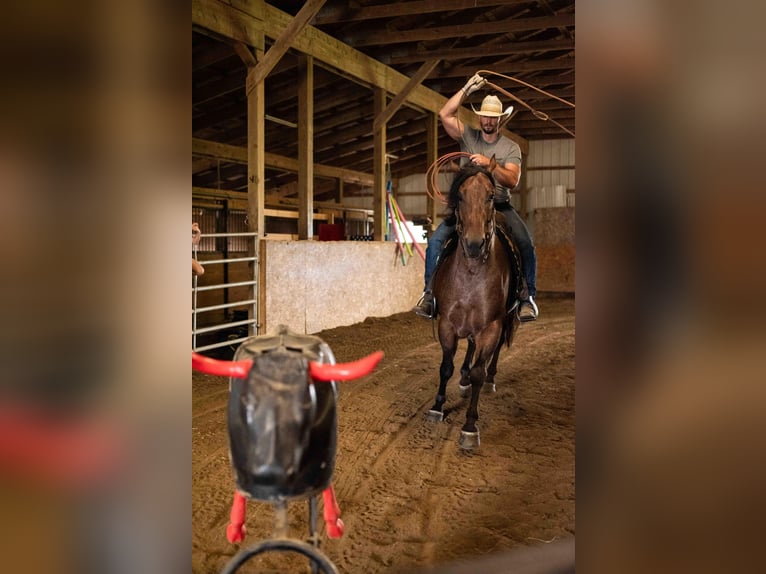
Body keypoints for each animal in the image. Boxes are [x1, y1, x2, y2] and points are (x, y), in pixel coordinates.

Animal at [427, 157, 521, 450]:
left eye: (490, 196)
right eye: (460, 196)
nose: (474, 244)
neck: (471, 272)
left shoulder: (491, 327)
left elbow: (480, 369)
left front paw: (469, 426)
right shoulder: (447, 324)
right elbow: (446, 366)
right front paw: (437, 407)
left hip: (505, 321)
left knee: (494, 353)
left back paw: (489, 379)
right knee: (468, 347)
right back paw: (465, 378)